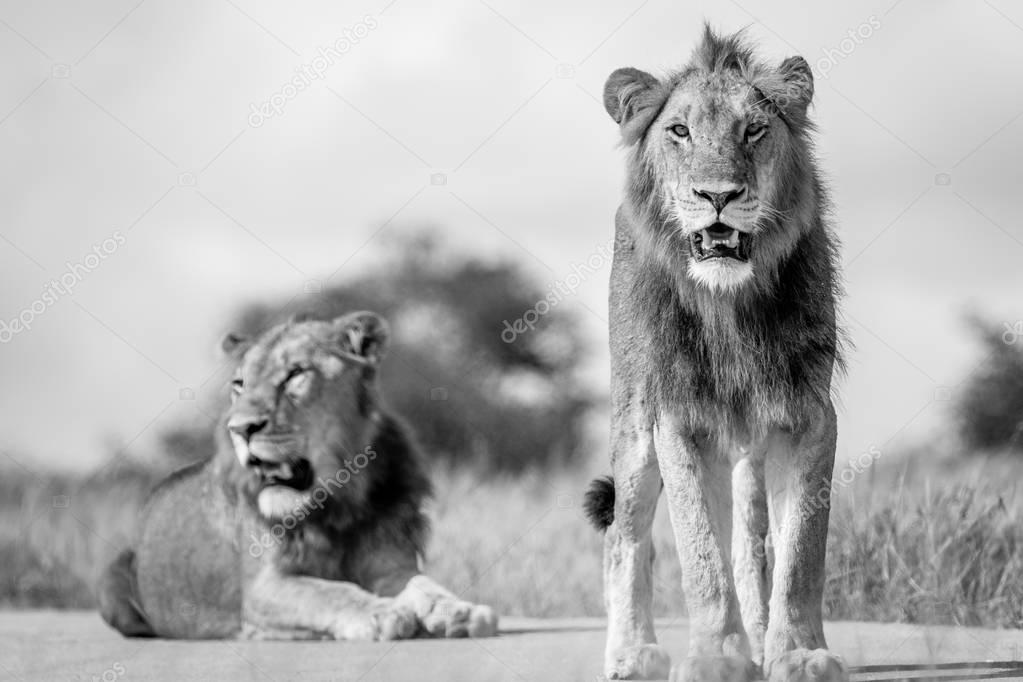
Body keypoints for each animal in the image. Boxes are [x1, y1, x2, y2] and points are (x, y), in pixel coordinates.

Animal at [97, 312, 497, 642]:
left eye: (294, 374)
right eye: (239, 384)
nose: (239, 429)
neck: (340, 499)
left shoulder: (391, 565)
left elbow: (424, 585)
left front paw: (461, 611)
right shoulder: (262, 588)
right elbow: (327, 592)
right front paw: (381, 613)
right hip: (112, 577)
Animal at [585, 26, 847, 682]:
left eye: (753, 130)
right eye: (679, 131)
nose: (718, 195)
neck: (729, 306)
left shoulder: (808, 417)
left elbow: (800, 553)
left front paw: (797, 653)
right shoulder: (678, 421)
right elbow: (700, 552)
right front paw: (716, 658)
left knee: (750, 545)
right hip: (633, 425)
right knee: (625, 535)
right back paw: (631, 654)